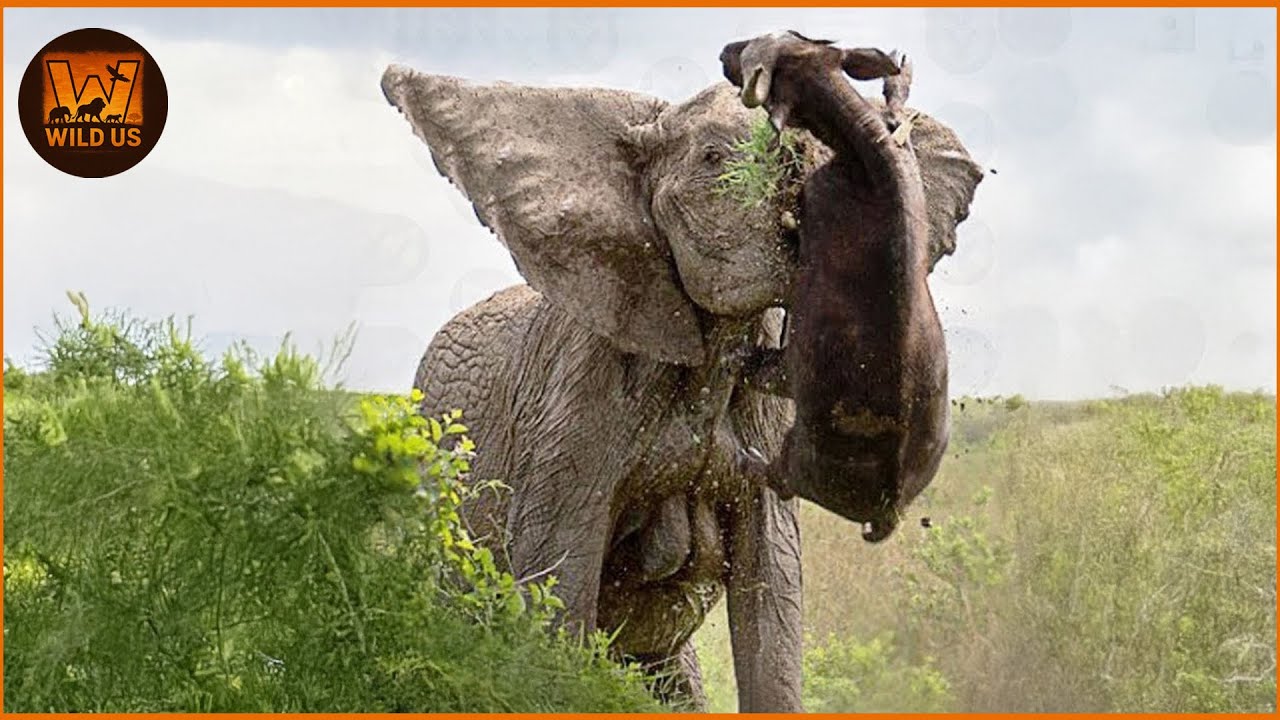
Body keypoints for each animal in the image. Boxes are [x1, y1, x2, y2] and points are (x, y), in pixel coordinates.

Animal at [725, 34, 962, 544]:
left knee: (774, 470)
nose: (725, 50)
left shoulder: (814, 204)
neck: (865, 154)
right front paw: (898, 76)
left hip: (799, 452)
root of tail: (889, 509)